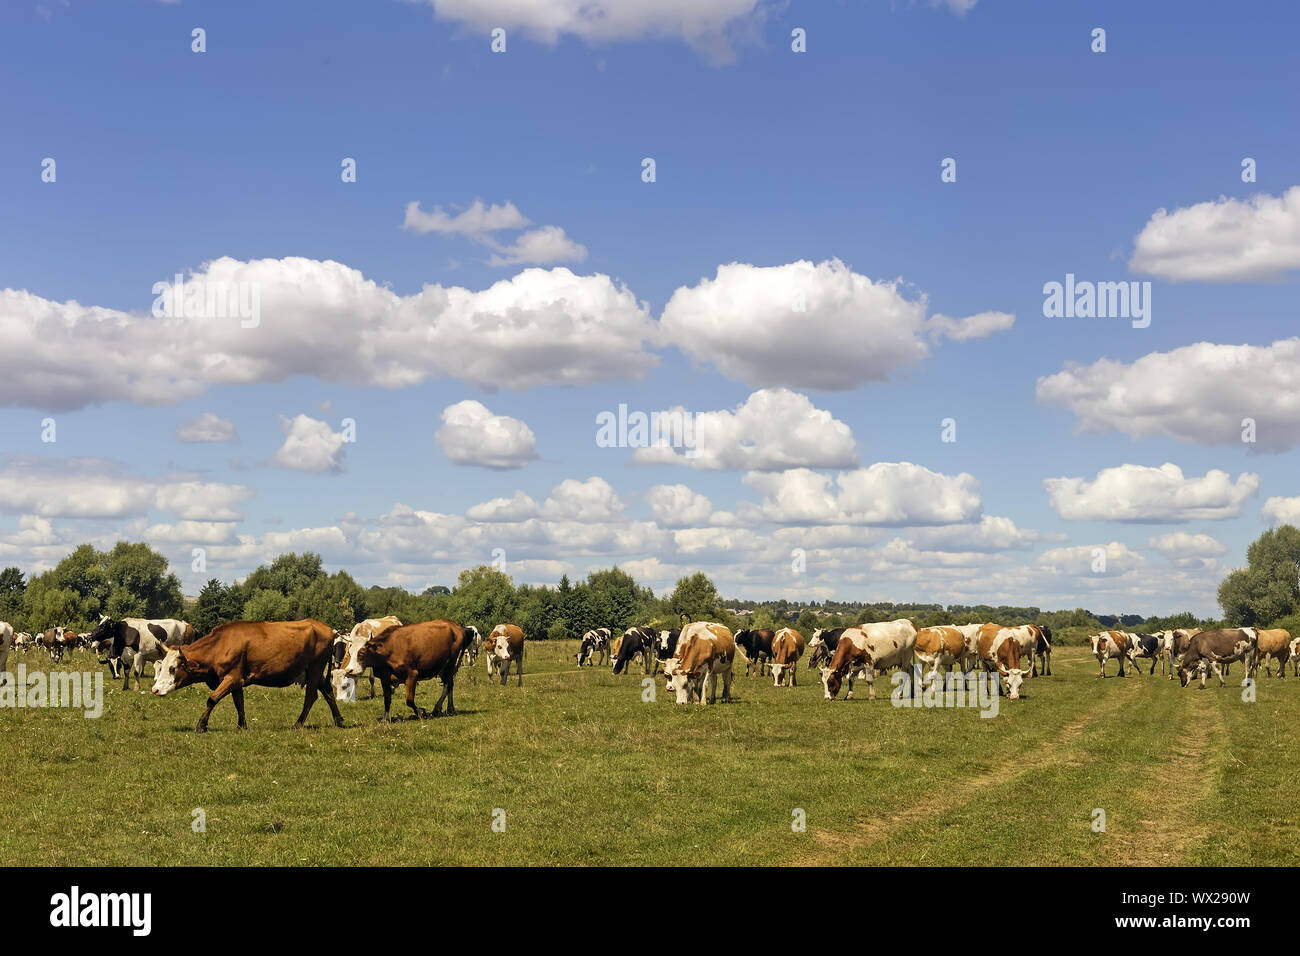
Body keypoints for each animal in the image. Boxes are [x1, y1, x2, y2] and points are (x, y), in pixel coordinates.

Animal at [150, 621, 343, 733]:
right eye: (162, 666)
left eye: (172, 669)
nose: (155, 689)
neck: (221, 644)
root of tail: (326, 628)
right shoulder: (237, 680)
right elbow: (239, 703)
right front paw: (242, 725)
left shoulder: (232, 678)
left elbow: (212, 699)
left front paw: (201, 725)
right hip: (315, 672)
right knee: (327, 692)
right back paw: (339, 720)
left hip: (315, 669)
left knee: (311, 696)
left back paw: (298, 723)